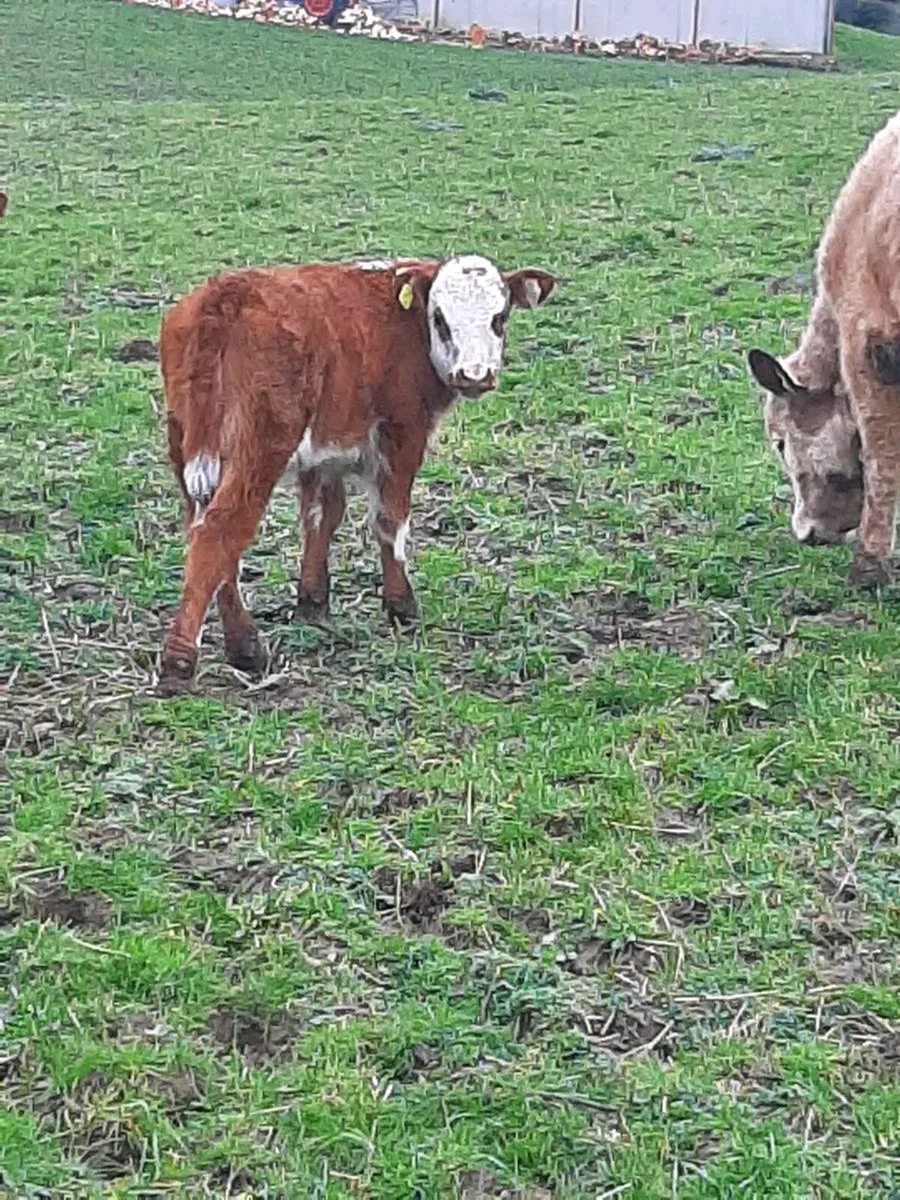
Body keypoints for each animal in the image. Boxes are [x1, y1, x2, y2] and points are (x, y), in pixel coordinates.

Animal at [158, 254, 556, 688]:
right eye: (440, 318)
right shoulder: (401, 434)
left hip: (186, 447)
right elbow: (389, 519)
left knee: (205, 532)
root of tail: (225, 296)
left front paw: (312, 603)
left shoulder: (323, 454)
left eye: (500, 317)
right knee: (219, 532)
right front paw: (401, 606)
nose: (474, 375)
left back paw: (244, 644)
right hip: (258, 449)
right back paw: (183, 660)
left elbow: (321, 517)